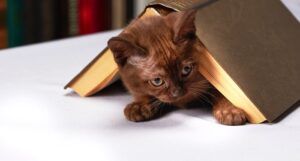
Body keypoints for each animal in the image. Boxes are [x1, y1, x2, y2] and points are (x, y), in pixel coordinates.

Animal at [107, 9, 246, 126]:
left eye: (186, 70)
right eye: (157, 81)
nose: (177, 92)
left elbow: (222, 92)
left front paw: (229, 110)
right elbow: (141, 92)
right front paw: (139, 106)